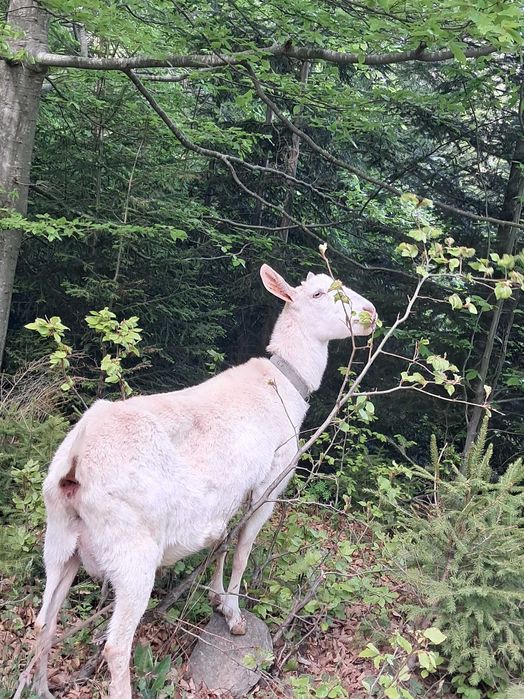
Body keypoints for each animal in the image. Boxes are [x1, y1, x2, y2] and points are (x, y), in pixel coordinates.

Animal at [33, 264, 376, 699]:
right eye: (317, 293)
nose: (371, 313)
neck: (285, 385)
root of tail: (75, 461)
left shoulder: (229, 496)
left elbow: (222, 542)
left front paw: (215, 598)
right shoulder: (269, 483)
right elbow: (243, 546)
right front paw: (233, 614)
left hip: (60, 540)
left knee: (43, 622)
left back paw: (40, 688)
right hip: (132, 552)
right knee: (115, 646)